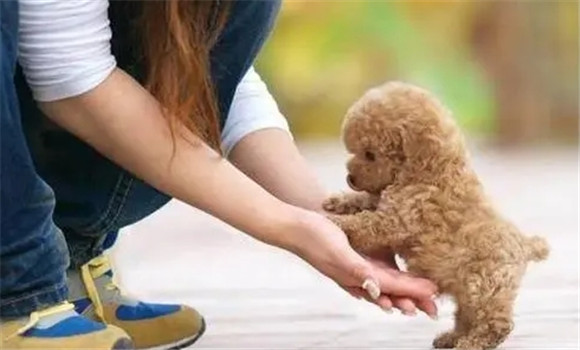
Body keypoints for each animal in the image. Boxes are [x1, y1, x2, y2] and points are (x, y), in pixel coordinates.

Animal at [324, 82, 552, 350]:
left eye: (370, 154)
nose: (350, 178)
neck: (431, 170)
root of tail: (525, 244)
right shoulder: (385, 201)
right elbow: (366, 201)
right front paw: (337, 202)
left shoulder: (397, 219)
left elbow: (366, 223)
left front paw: (338, 223)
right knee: (467, 315)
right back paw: (452, 337)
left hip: (485, 285)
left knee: (494, 323)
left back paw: (471, 343)